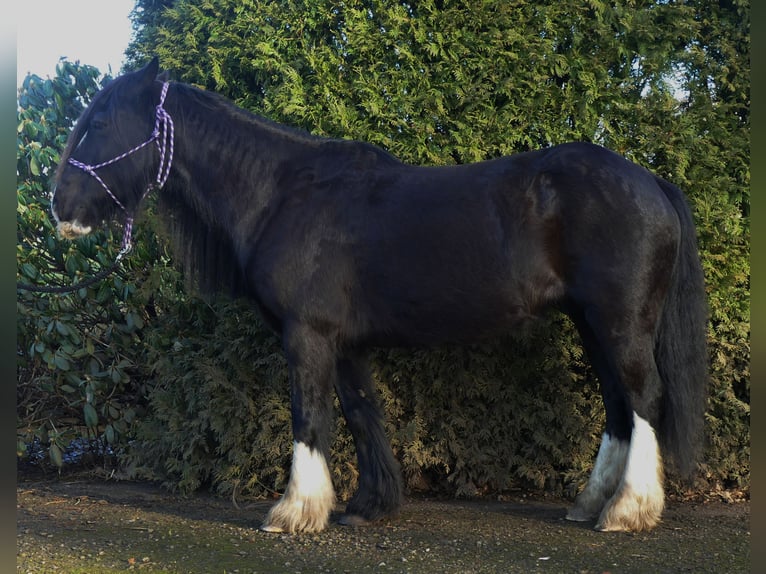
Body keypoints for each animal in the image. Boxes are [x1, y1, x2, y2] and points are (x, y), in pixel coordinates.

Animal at [49, 58, 708, 536]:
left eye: (100, 122)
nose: (60, 209)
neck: (281, 191)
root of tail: (649, 181)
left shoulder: (307, 335)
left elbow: (310, 414)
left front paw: (294, 513)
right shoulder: (343, 343)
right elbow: (361, 413)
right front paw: (366, 506)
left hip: (620, 321)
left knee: (643, 398)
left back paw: (627, 512)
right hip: (593, 323)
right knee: (618, 406)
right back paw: (592, 504)